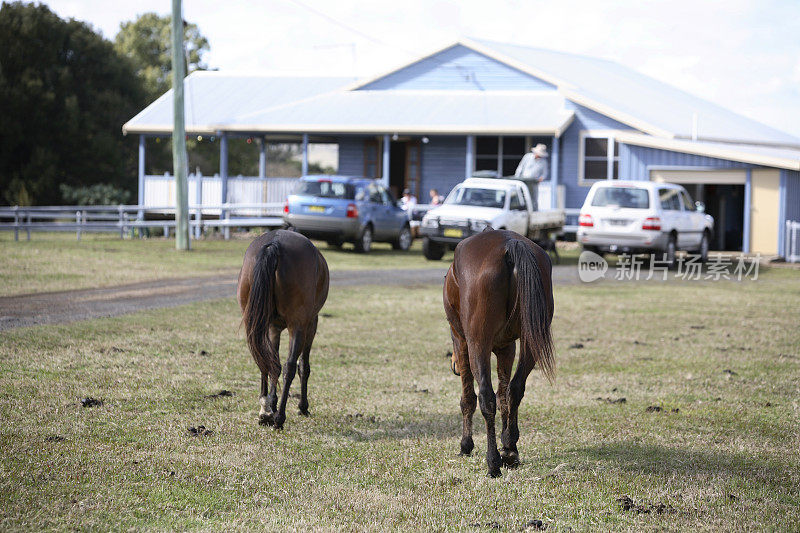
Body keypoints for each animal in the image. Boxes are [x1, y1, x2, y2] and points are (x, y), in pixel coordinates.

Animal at [238, 229, 328, 428]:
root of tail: (274, 243)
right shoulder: (311, 323)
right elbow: (303, 366)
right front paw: (302, 407)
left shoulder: (273, 328)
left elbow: (273, 363)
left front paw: (271, 403)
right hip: (299, 326)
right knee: (290, 367)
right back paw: (280, 418)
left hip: (257, 323)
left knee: (264, 360)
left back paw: (265, 411)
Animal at [440, 229, 552, 478]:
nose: (453, 366)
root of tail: (510, 245)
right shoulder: (506, 348)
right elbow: (504, 396)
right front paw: (507, 443)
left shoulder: (461, 341)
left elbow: (469, 398)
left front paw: (466, 445)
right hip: (531, 340)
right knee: (515, 389)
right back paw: (509, 448)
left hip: (477, 343)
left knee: (485, 396)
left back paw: (493, 462)